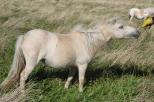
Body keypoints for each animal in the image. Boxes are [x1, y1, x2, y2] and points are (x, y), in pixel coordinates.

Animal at [0, 18, 140, 92]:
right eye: (121, 27)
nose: (137, 32)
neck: (88, 41)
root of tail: (24, 36)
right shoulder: (82, 65)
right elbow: (81, 79)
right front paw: (81, 92)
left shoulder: (73, 66)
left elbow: (70, 77)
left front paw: (66, 89)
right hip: (31, 63)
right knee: (23, 76)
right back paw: (23, 92)